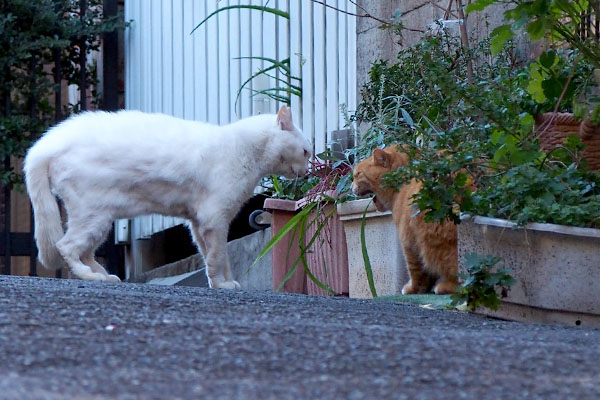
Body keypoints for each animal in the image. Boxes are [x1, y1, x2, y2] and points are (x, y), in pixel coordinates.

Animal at [23, 105, 310, 288]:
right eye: (307, 151)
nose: (309, 170)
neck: (245, 151)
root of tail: (45, 145)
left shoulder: (198, 223)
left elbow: (216, 256)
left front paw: (223, 282)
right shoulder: (214, 219)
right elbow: (218, 256)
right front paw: (222, 284)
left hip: (99, 219)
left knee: (84, 251)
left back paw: (104, 275)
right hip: (93, 215)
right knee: (66, 247)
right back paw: (91, 277)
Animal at [350, 145, 458, 296]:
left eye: (357, 174)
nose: (350, 187)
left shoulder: (408, 240)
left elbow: (415, 270)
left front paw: (413, 289)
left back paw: (444, 286)